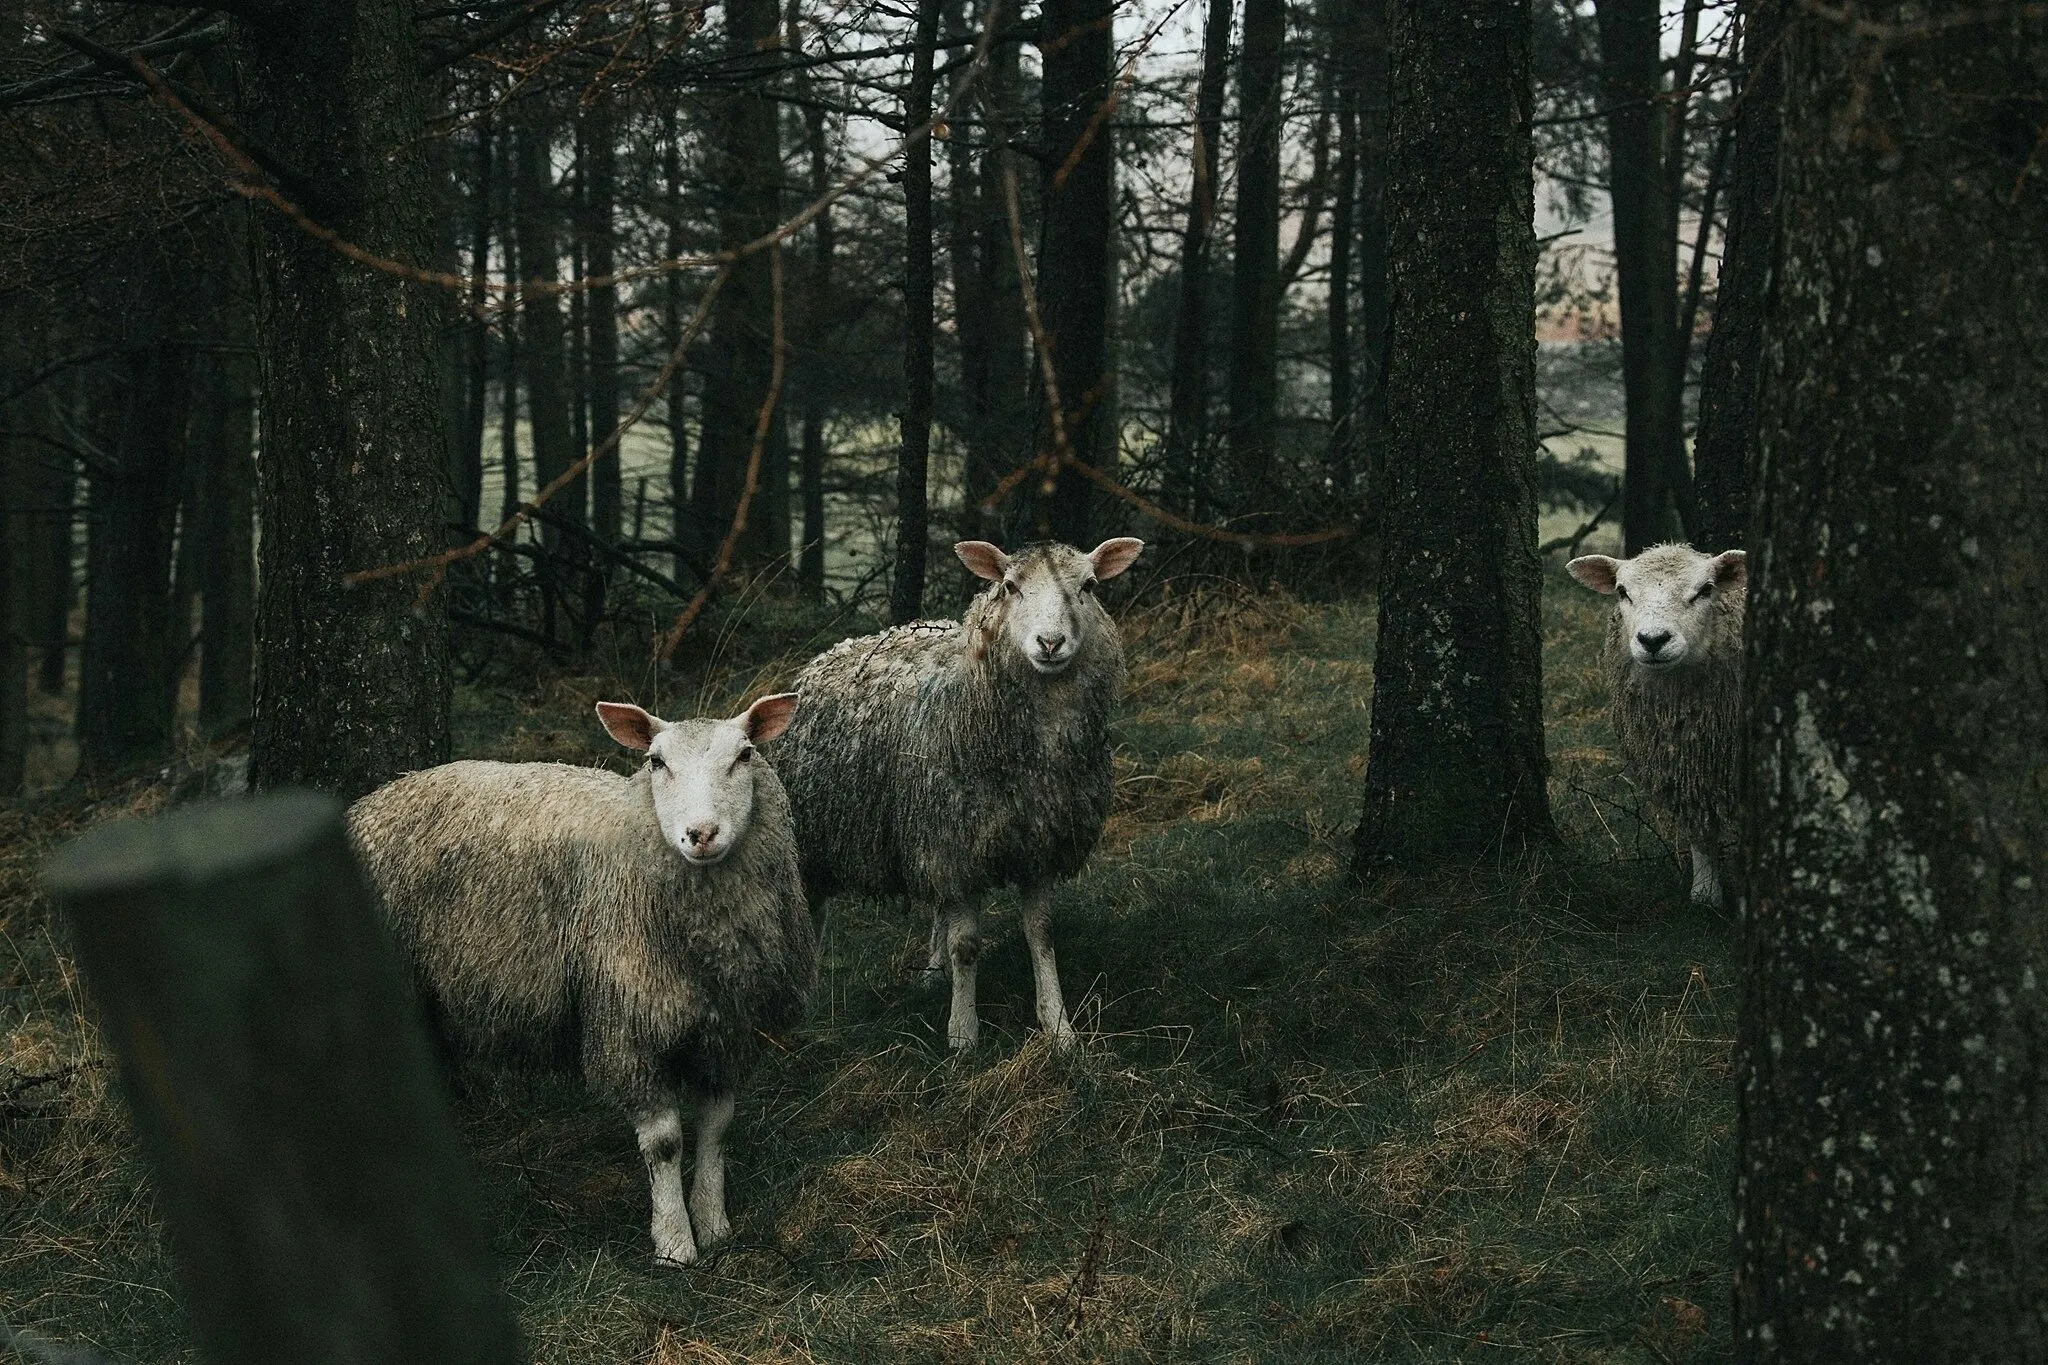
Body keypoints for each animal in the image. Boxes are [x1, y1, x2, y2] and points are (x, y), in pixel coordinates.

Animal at [345, 694, 813, 1267]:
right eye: (656, 762)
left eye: (744, 755)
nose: (700, 834)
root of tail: (376, 798)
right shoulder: (625, 1023)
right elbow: (664, 1142)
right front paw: (674, 1243)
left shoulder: (727, 1025)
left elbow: (717, 1125)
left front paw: (715, 1223)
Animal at [772, 537, 1144, 1051]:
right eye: (1010, 587)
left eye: (1088, 586)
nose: (1051, 643)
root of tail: (836, 650)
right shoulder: (952, 844)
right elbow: (966, 944)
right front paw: (964, 1034)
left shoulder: (1034, 841)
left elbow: (1042, 933)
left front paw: (1058, 1027)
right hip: (819, 833)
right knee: (812, 912)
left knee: (938, 908)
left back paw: (934, 971)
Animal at [1566, 543, 1747, 907]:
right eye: (1622, 592)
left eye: (1706, 590)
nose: (1652, 640)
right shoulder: (1688, 766)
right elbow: (1700, 829)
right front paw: (1705, 895)